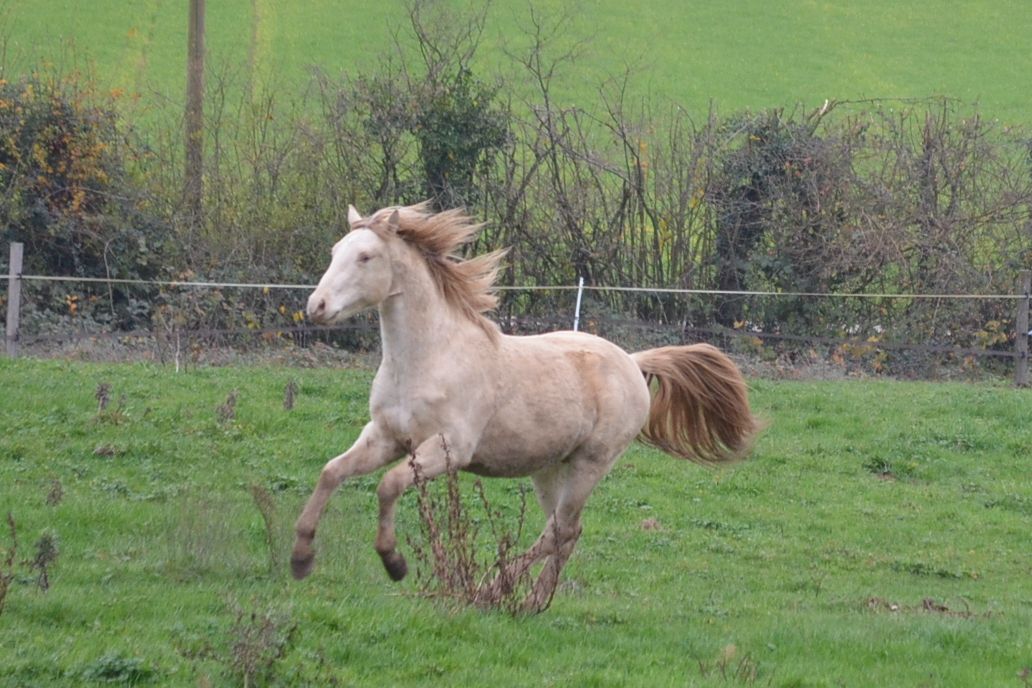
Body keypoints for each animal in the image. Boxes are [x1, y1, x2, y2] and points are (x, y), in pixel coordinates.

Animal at [291, 202, 759, 611]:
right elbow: (331, 472)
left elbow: (388, 486)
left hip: (591, 463)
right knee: (563, 531)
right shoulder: (385, 437)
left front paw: (394, 563)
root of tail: (631, 360)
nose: (316, 307)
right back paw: (525, 597)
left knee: (562, 530)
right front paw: (301, 558)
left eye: (366, 256)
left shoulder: (448, 448)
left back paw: (499, 592)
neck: (429, 359)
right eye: (335, 251)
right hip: (550, 467)